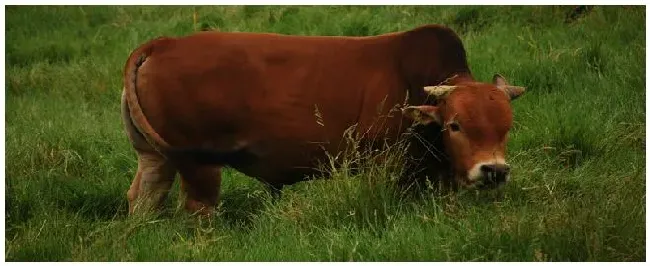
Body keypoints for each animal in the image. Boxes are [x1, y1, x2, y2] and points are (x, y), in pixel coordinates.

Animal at [121, 24, 524, 214]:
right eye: (455, 124)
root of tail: (165, 43)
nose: (494, 171)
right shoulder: (383, 164)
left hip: (155, 158)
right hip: (200, 166)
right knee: (198, 209)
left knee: (143, 198)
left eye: (506, 127)